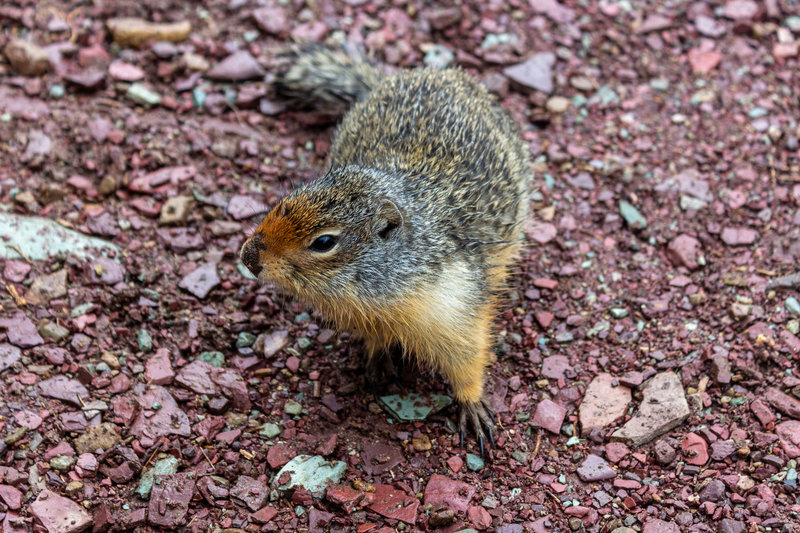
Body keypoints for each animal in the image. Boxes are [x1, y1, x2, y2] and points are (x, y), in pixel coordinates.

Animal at [241, 44, 536, 448]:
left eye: (324, 242)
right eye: (285, 200)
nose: (248, 256)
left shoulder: (458, 308)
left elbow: (468, 360)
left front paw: (472, 404)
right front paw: (378, 359)